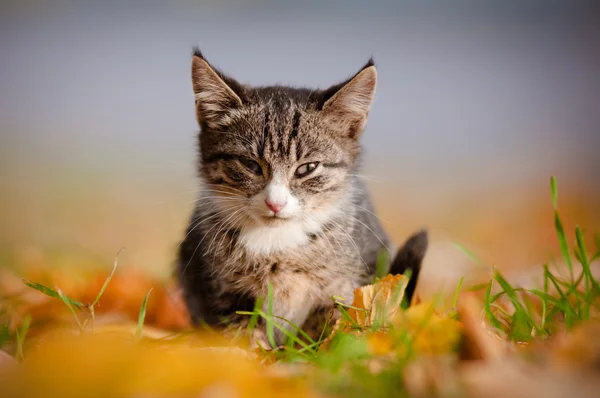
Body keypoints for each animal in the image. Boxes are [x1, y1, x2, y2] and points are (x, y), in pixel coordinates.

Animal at [176, 48, 428, 344]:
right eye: (250, 165)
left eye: (307, 168)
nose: (275, 202)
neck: (278, 245)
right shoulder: (214, 286)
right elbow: (238, 330)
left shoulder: (351, 281)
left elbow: (330, 327)